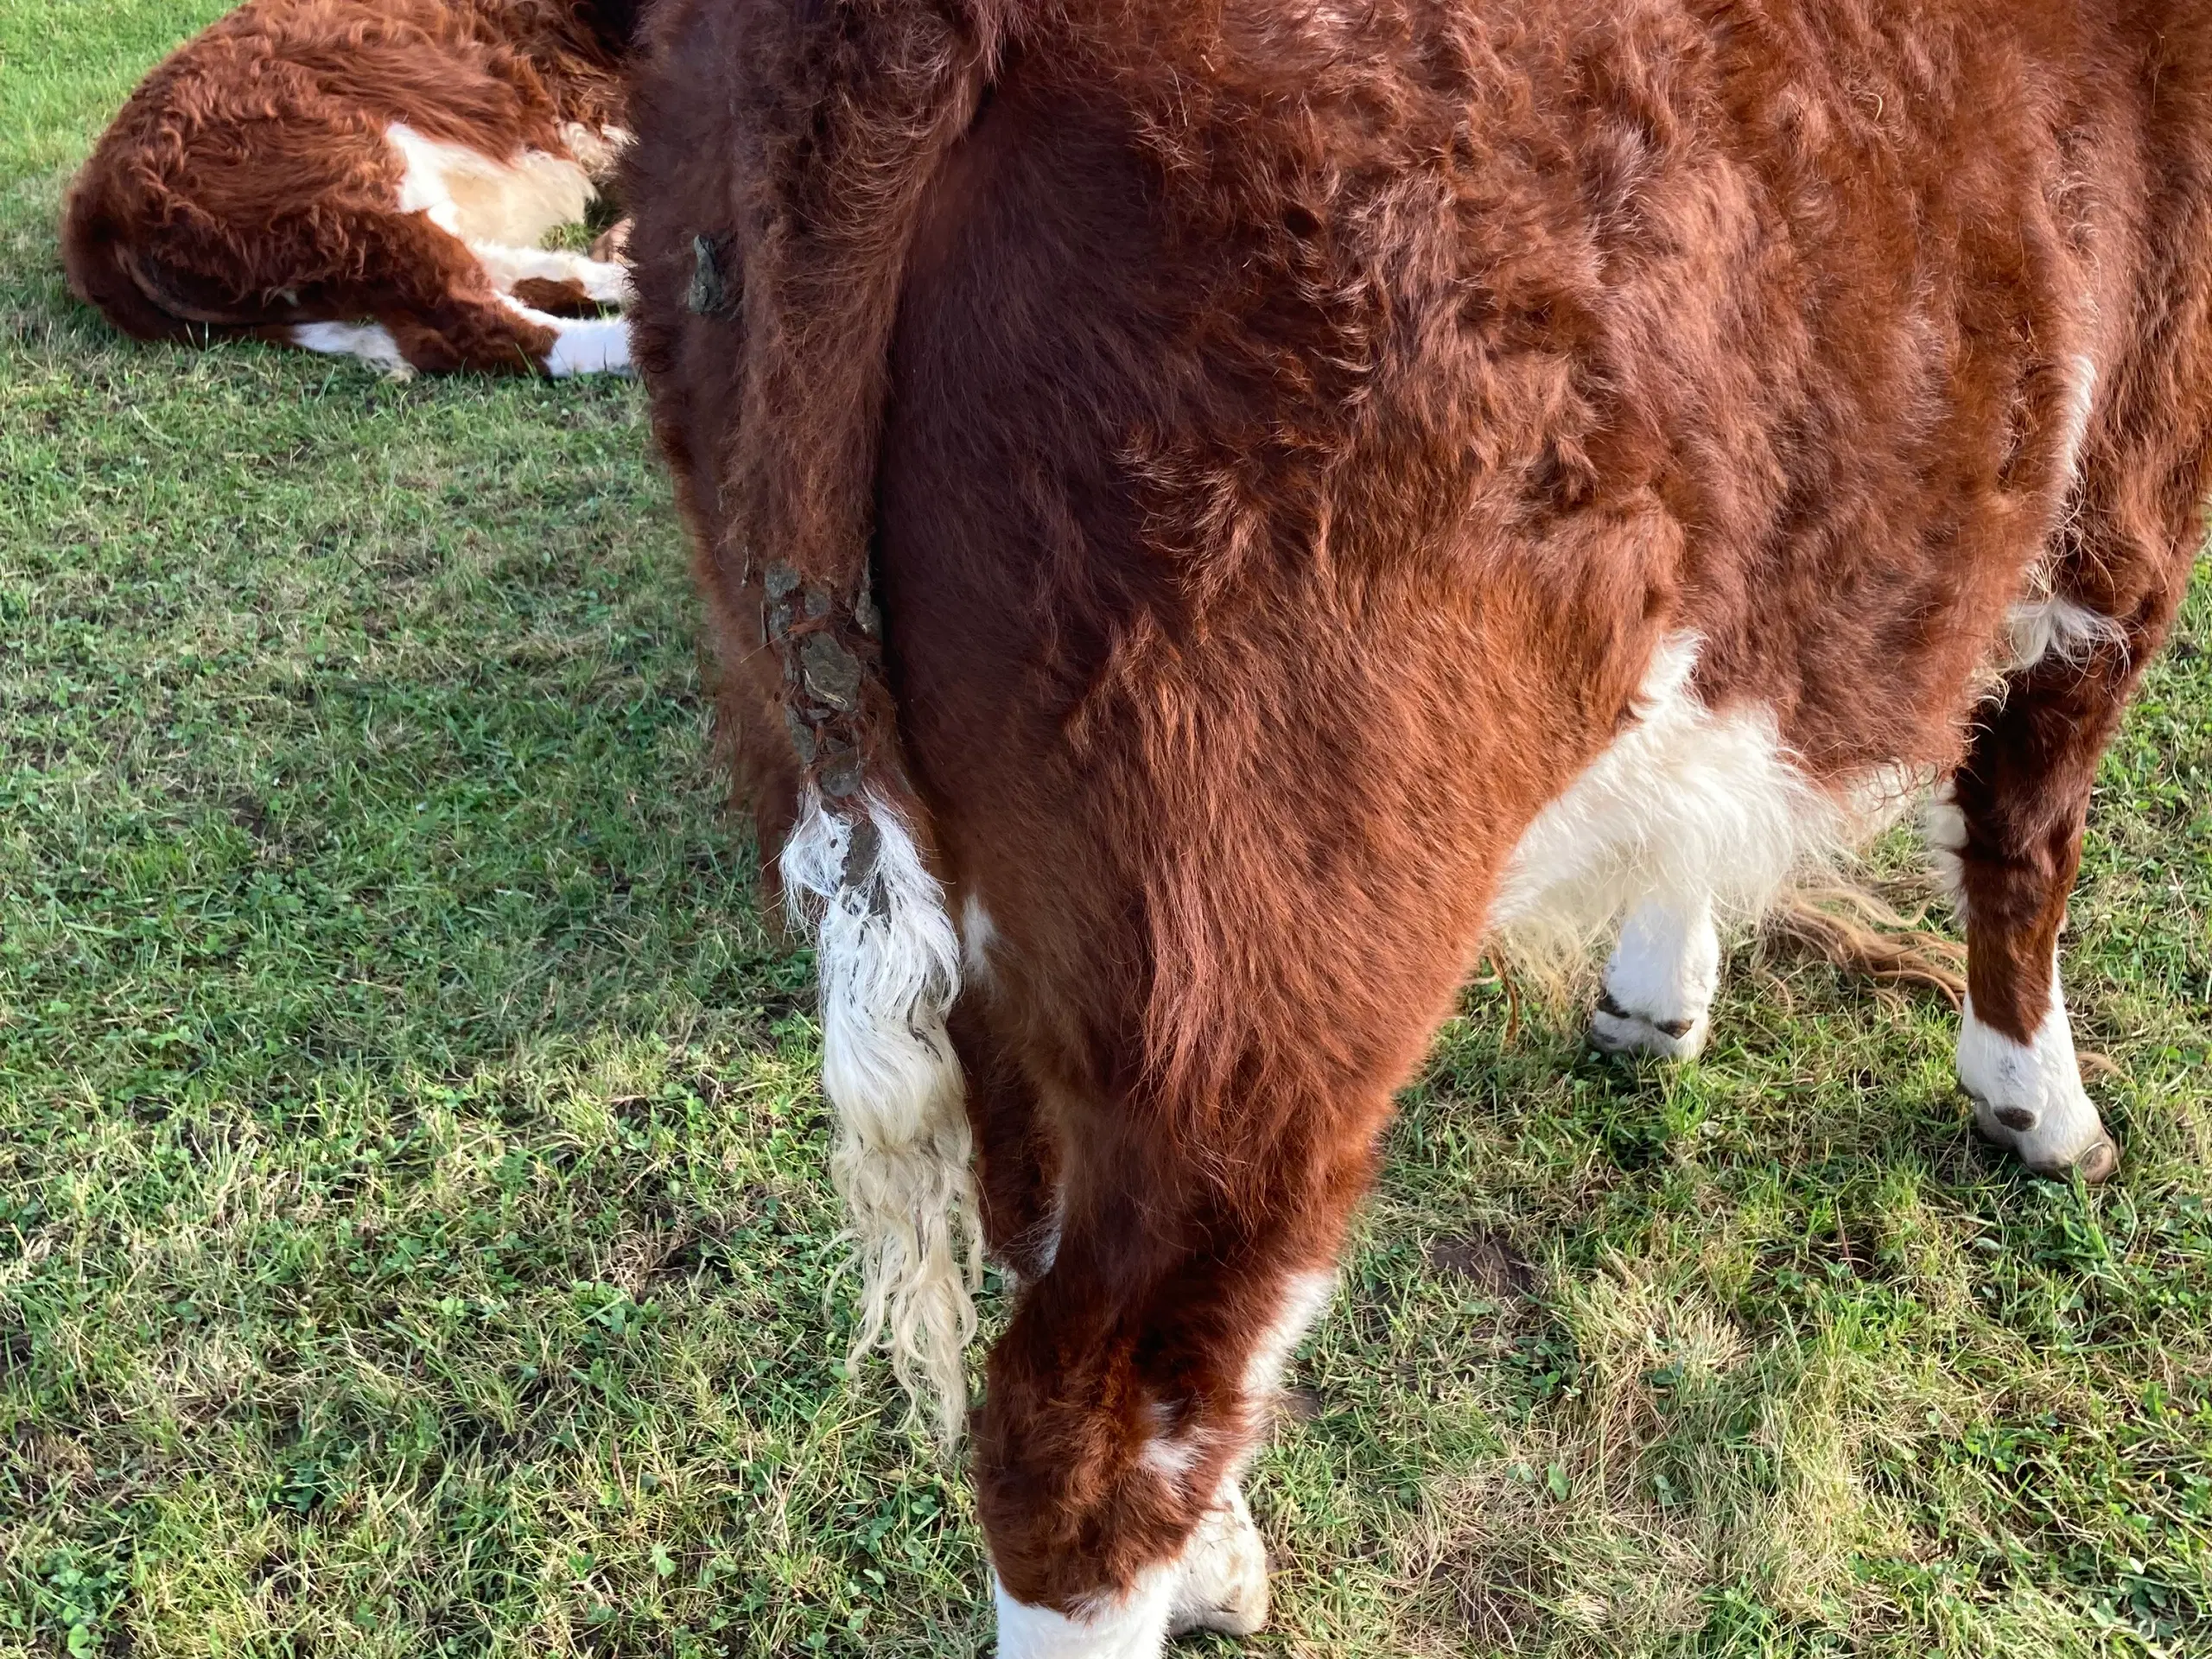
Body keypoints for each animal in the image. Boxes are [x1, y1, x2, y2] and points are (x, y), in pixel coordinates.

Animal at [619, 0, 2212, 1654]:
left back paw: (1215, 1552)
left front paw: (1657, 998)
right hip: (1257, 955)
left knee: (1053, 1231)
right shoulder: (2129, 492)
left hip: (970, 870)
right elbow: (2028, 834)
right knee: (1090, 1428)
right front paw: (2037, 1105)